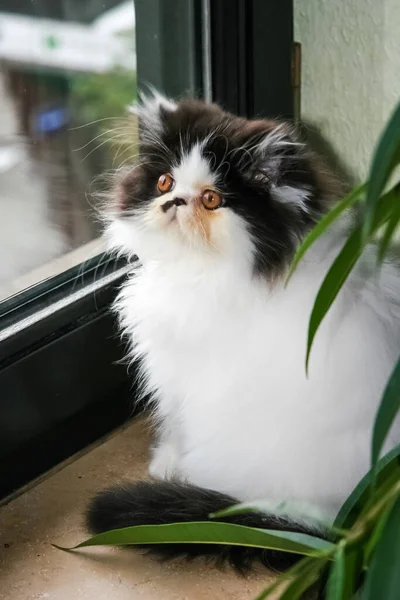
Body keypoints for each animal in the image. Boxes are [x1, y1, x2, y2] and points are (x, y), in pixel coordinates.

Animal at [86, 91, 400, 568]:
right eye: (164, 183)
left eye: (211, 199)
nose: (175, 202)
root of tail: (343, 529)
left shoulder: (183, 380)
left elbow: (176, 426)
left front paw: (167, 464)